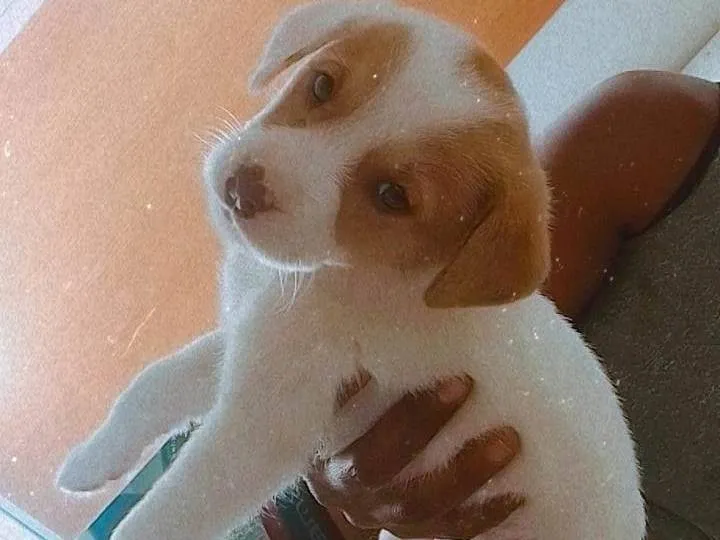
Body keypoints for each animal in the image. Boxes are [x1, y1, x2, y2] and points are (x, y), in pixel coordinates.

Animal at [57, 1, 646, 538]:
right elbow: (153, 384)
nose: (241, 190)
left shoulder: (259, 429)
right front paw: (90, 461)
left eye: (391, 196)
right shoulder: (249, 345)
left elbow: (164, 513)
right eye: (321, 85)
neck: (335, 273)